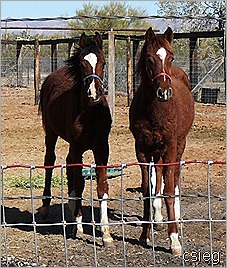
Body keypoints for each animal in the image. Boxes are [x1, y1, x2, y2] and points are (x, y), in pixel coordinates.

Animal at [39, 31, 113, 247]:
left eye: (103, 62)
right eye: (82, 64)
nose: (94, 92)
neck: (90, 114)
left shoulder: (101, 148)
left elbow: (101, 186)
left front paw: (106, 234)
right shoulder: (78, 147)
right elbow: (80, 184)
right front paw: (78, 227)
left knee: (68, 164)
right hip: (51, 133)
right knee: (50, 161)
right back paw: (46, 207)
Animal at [129, 27, 195, 255]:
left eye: (171, 57)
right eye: (149, 59)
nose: (164, 92)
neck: (154, 110)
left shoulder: (170, 147)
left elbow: (168, 190)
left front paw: (174, 241)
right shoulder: (142, 149)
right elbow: (147, 190)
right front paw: (145, 234)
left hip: (179, 146)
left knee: (173, 177)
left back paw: (177, 217)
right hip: (156, 151)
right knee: (158, 175)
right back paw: (157, 219)